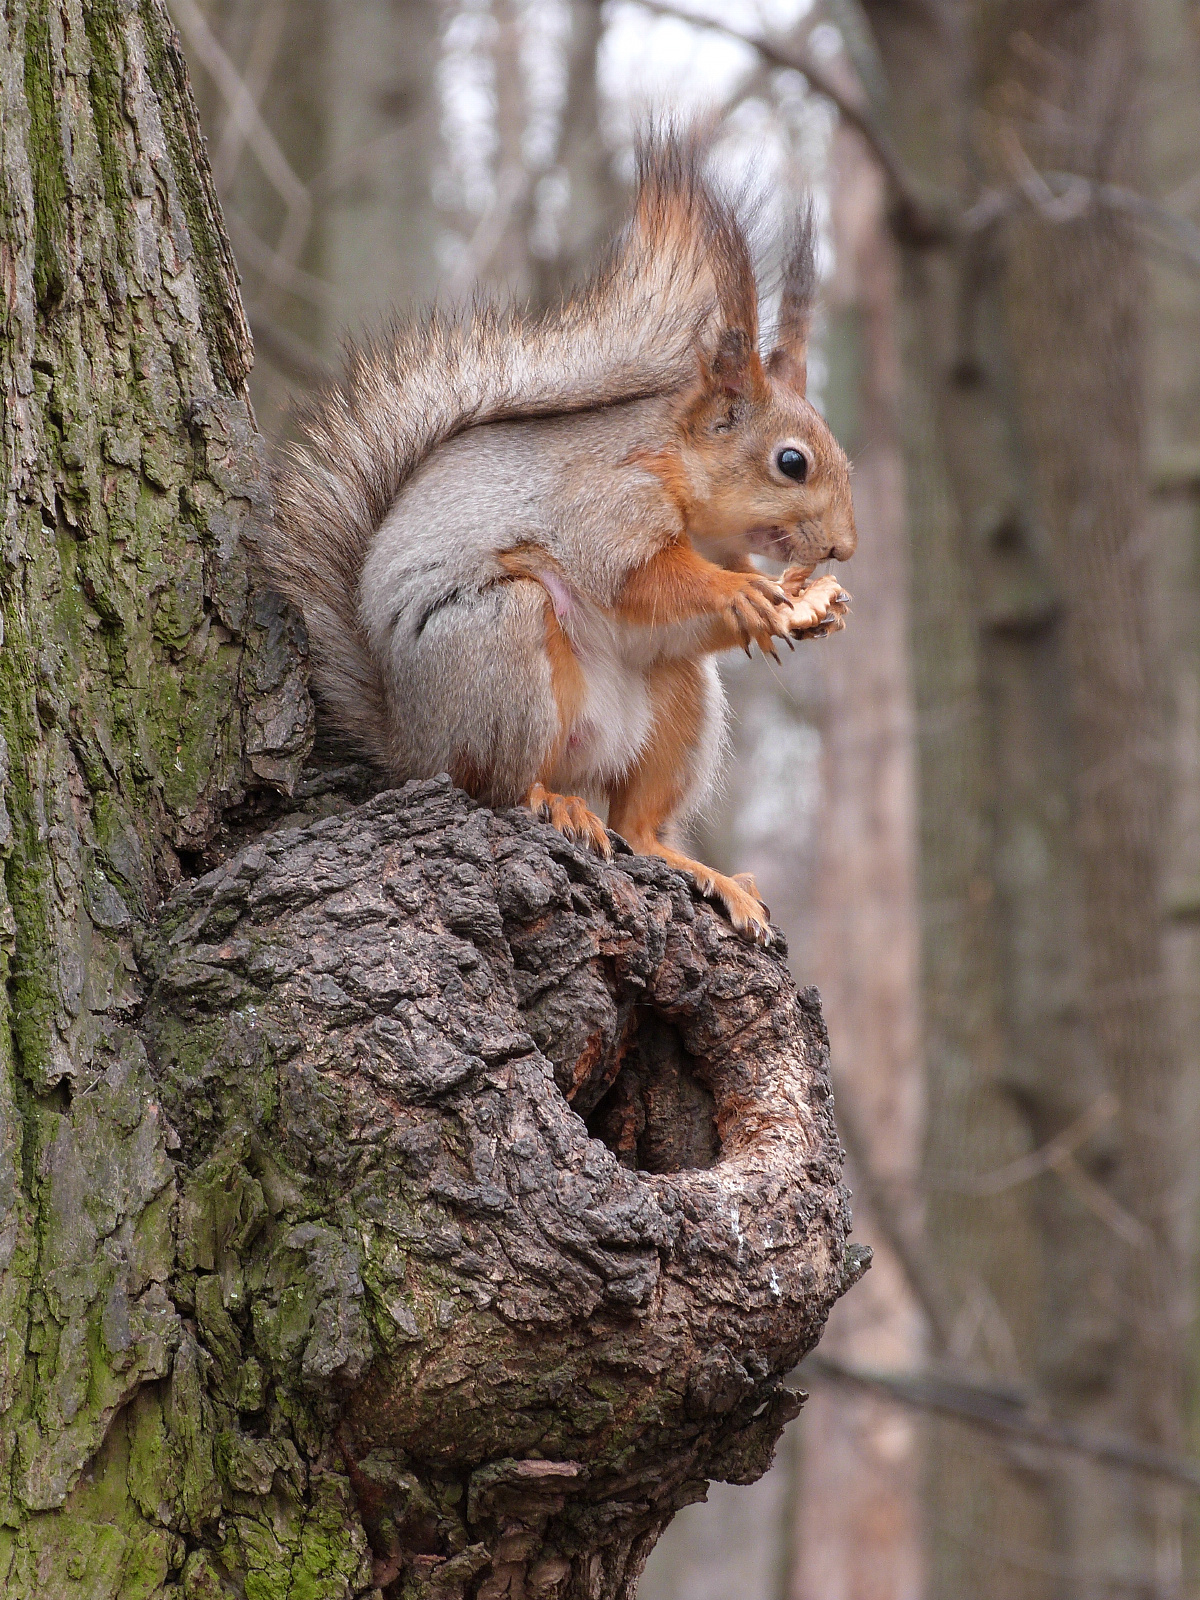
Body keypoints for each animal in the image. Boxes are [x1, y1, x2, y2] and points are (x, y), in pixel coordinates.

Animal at [263, 133, 856, 944]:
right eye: (791, 462)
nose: (844, 548)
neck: (679, 474)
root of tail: (410, 743)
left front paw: (798, 612)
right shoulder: (602, 505)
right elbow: (634, 578)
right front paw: (744, 593)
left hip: (678, 701)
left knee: (639, 823)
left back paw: (701, 871)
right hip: (501, 646)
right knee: (497, 784)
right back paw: (553, 802)